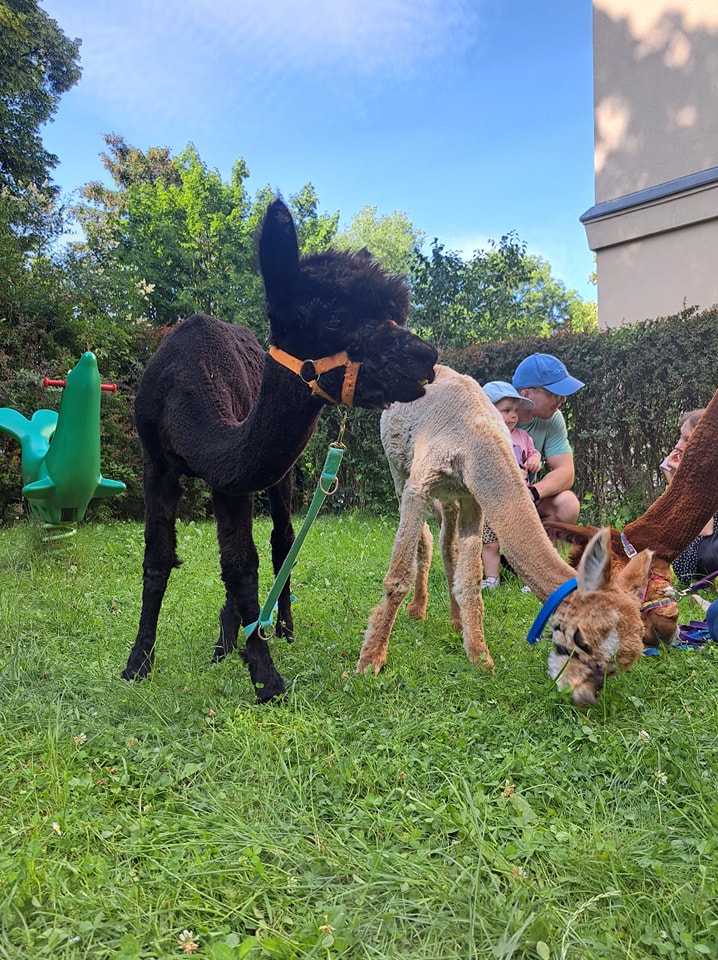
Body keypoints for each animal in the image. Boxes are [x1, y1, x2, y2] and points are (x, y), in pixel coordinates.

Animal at [122, 198, 438, 700]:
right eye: (332, 317)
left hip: (281, 473)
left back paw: (278, 628)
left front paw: (265, 676)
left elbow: (243, 565)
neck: (184, 391)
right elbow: (160, 560)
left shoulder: (232, 475)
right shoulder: (158, 461)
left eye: (397, 313)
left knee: (282, 540)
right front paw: (138, 663)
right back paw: (227, 639)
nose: (425, 357)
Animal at [358, 365, 653, 706]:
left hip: (449, 496)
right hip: (399, 468)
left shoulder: (472, 497)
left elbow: (470, 579)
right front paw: (371, 660)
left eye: (617, 667)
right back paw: (417, 610)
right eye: (583, 643)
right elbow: (398, 576)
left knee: (447, 545)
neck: (472, 438)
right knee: (425, 539)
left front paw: (479, 656)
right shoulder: (420, 483)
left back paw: (454, 620)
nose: (584, 696)